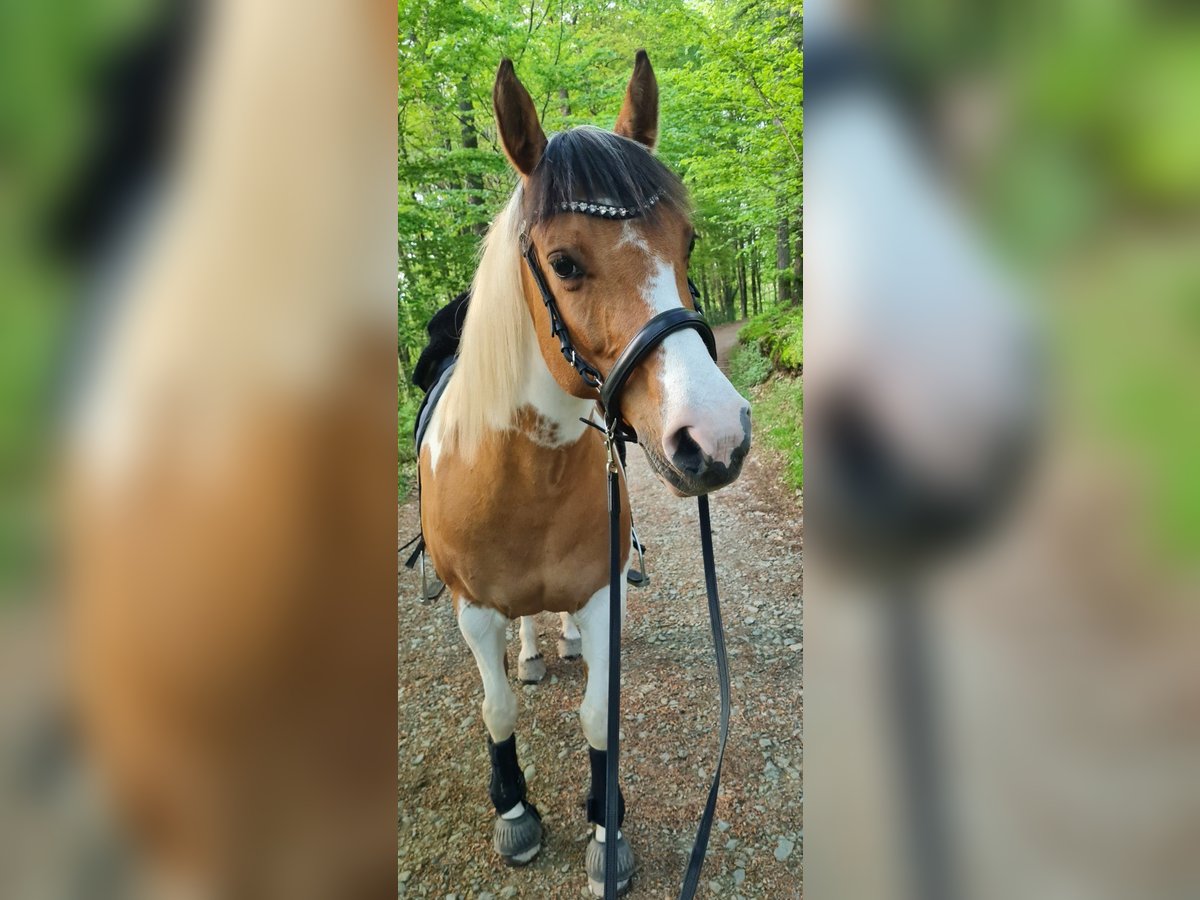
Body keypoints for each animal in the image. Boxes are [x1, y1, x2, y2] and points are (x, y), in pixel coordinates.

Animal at [415, 52, 748, 897]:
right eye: (565, 263)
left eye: (688, 243)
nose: (717, 437)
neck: (515, 477)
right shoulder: (472, 610)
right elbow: (497, 712)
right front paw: (514, 811)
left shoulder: (602, 595)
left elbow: (602, 716)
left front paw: (606, 824)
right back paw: (534, 652)